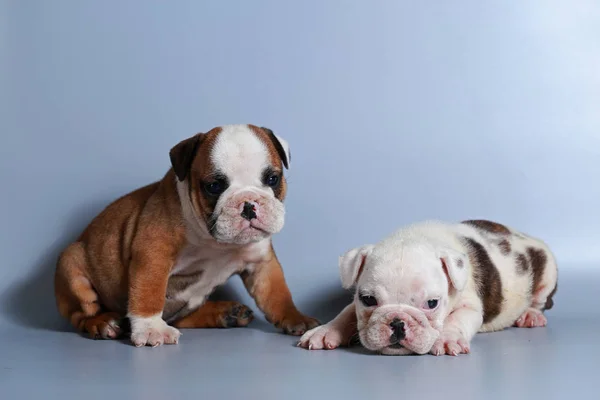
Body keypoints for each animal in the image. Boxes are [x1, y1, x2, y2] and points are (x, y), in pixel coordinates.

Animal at [54, 124, 322, 346]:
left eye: (272, 179)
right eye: (214, 186)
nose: (248, 204)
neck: (216, 242)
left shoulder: (261, 263)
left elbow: (277, 294)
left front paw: (295, 317)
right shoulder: (154, 253)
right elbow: (148, 292)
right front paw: (150, 329)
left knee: (180, 317)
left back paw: (226, 313)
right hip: (71, 263)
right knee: (81, 315)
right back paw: (103, 323)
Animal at [298, 220, 556, 354]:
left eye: (432, 303)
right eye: (368, 299)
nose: (397, 322)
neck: (416, 237)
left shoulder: (469, 307)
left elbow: (455, 320)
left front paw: (447, 338)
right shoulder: (355, 303)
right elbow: (345, 313)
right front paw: (324, 331)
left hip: (547, 269)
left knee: (540, 300)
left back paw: (530, 315)